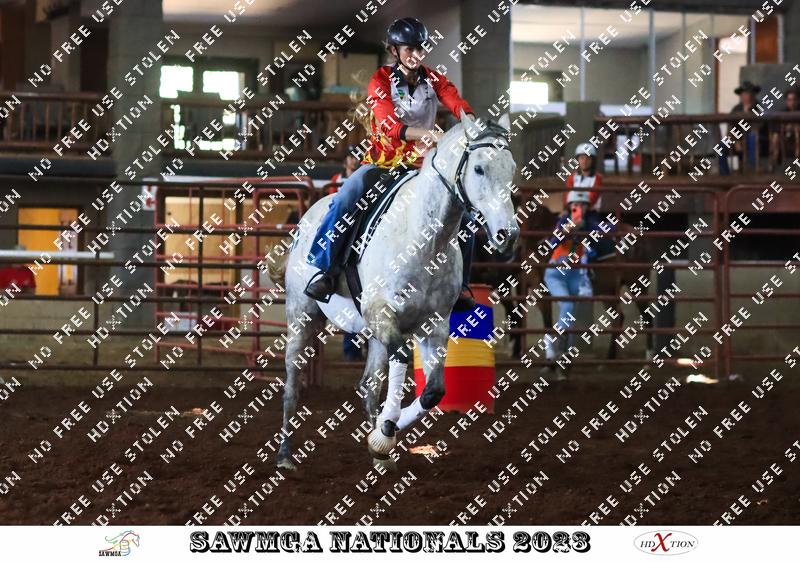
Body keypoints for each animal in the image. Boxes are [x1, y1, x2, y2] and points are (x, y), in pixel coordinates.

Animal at [267, 112, 519, 470]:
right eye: (480, 168)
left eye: (511, 168)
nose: (507, 234)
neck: (425, 239)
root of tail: (306, 219)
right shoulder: (382, 314)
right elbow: (401, 357)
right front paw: (384, 432)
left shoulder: (434, 324)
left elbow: (433, 392)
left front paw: (381, 439)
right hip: (301, 316)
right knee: (292, 384)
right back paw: (285, 455)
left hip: (369, 332)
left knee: (369, 385)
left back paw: (380, 458)